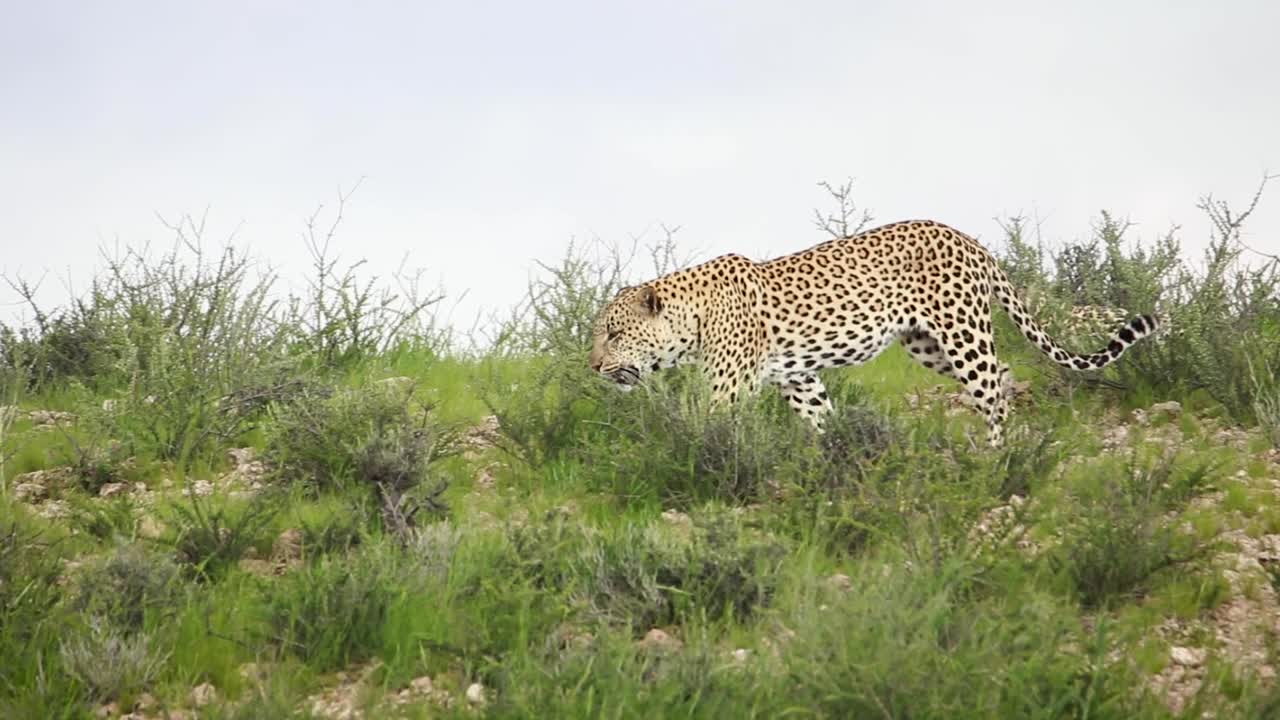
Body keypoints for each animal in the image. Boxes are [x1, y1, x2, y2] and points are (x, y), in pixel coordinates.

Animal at [588, 219, 1161, 446]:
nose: (593, 365)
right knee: (1000, 372)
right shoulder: (799, 378)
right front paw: (833, 454)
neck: (692, 317)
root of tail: (969, 238)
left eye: (613, 334)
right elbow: (822, 419)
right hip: (928, 345)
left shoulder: (731, 387)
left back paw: (997, 454)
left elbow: (703, 427)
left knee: (990, 387)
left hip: (961, 333)